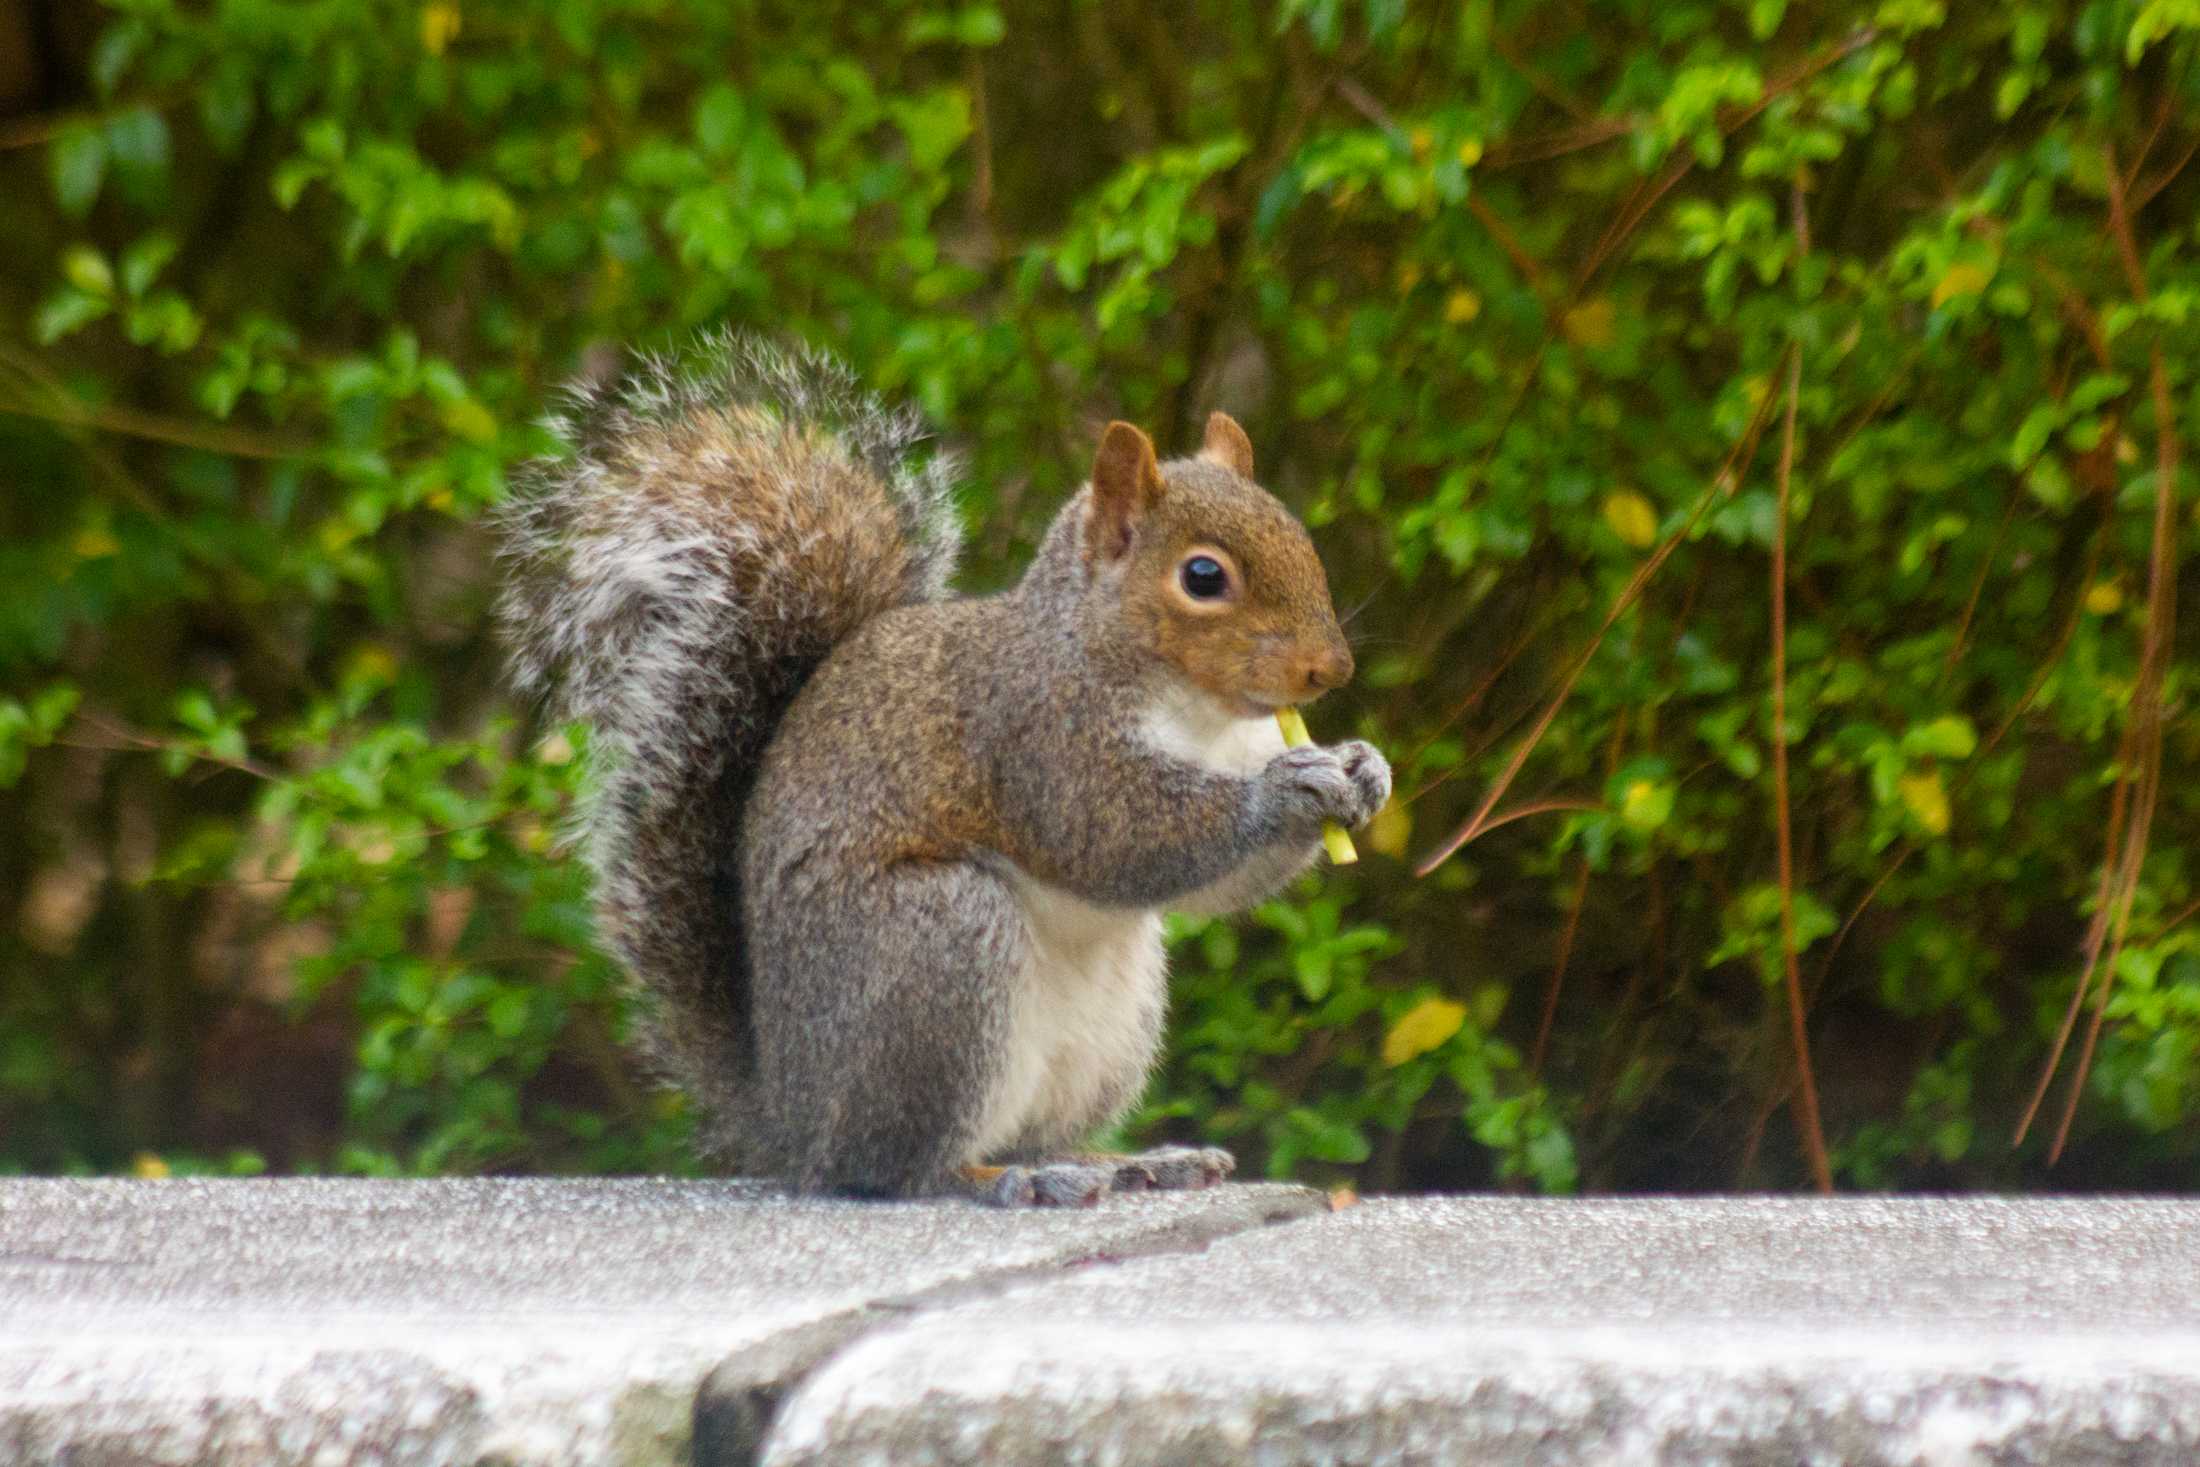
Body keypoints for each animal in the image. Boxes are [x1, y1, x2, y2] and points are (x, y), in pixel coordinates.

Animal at [503, 338, 1390, 1214]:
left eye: (1299, 536)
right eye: (1204, 577)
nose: (1331, 669)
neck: (1195, 713)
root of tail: (792, 1121)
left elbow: (1218, 883)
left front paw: (1363, 768)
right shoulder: (1035, 737)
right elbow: (1118, 836)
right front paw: (1283, 794)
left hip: (1114, 1021)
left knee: (1028, 1129)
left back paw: (1130, 1159)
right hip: (939, 949)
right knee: (899, 1167)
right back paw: (1003, 1178)